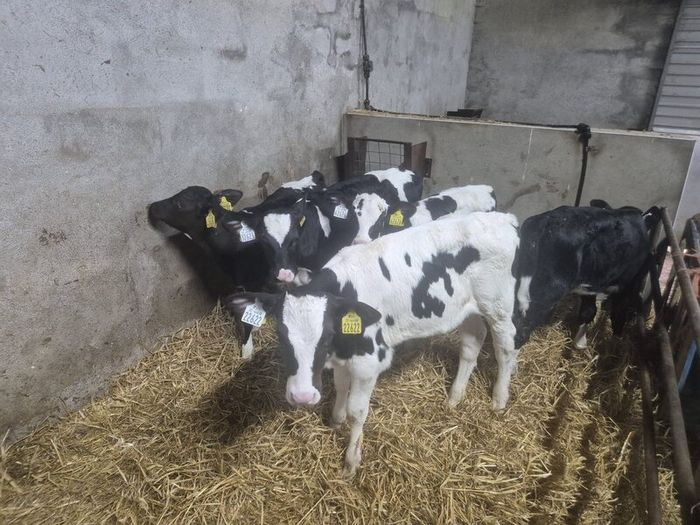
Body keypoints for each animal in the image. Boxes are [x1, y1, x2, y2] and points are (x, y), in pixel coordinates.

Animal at [225, 211, 520, 476]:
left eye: (327, 334)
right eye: (281, 334)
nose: (302, 396)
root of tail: (503, 218)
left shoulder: (368, 361)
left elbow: (357, 411)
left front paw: (351, 460)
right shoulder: (345, 356)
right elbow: (341, 386)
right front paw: (336, 419)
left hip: (499, 306)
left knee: (506, 347)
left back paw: (499, 399)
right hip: (469, 309)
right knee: (472, 343)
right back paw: (455, 397)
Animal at [513, 203, 660, 350]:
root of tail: (546, 222)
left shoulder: (591, 284)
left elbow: (588, 311)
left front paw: (580, 342)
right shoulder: (627, 284)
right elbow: (618, 311)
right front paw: (616, 338)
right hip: (549, 290)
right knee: (520, 329)